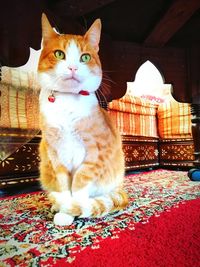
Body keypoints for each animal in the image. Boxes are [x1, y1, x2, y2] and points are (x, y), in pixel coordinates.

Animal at [38, 14, 128, 226]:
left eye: (85, 57)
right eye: (59, 54)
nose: (73, 67)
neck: (67, 102)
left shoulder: (97, 151)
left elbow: (80, 182)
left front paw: (73, 209)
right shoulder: (55, 153)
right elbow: (63, 185)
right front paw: (63, 209)